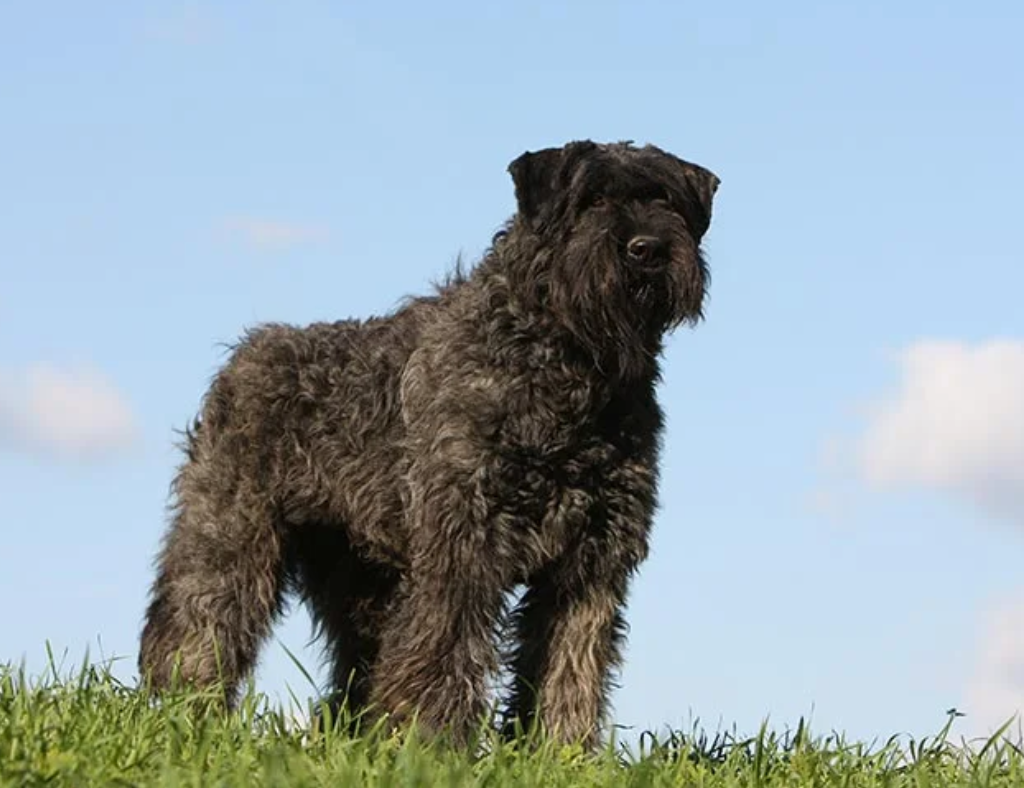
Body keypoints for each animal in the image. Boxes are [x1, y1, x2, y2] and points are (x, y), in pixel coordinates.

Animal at [140, 138, 720, 745]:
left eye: (666, 200)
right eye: (592, 200)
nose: (646, 249)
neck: (566, 370)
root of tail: (242, 356)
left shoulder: (590, 561)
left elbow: (570, 663)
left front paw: (558, 747)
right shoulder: (461, 544)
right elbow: (444, 647)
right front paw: (433, 742)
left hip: (362, 579)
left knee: (358, 667)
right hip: (231, 540)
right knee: (199, 625)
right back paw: (185, 714)